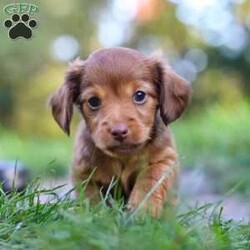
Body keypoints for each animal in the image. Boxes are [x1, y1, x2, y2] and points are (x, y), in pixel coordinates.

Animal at [49, 47, 191, 217]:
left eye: (140, 95)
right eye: (93, 101)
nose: (119, 132)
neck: (123, 157)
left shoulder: (163, 160)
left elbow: (148, 183)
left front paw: (143, 212)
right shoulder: (83, 173)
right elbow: (91, 198)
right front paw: (96, 217)